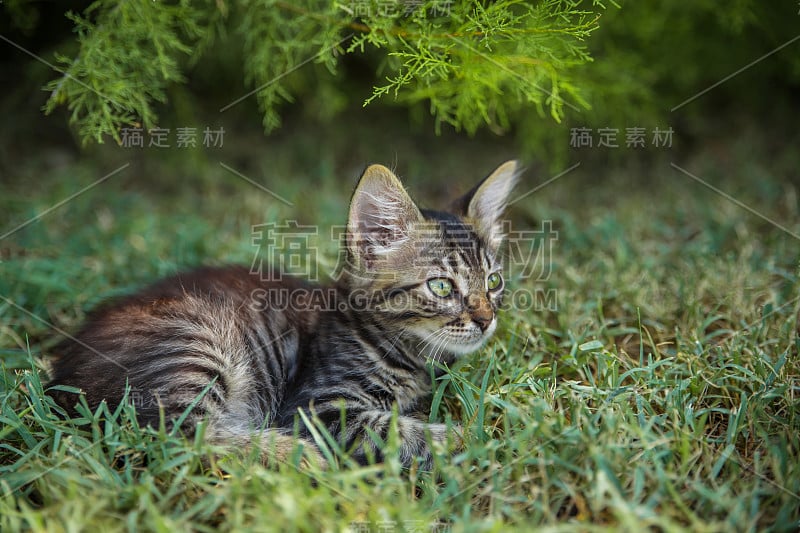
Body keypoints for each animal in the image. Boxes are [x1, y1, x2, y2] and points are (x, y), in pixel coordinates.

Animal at [51, 160, 524, 468]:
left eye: (493, 282)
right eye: (442, 286)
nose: (486, 320)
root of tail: (62, 372)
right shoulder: (317, 407)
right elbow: (402, 430)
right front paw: (492, 435)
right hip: (197, 343)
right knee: (182, 435)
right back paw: (296, 455)